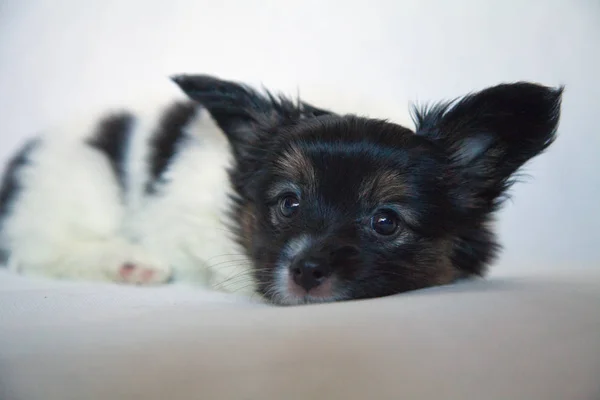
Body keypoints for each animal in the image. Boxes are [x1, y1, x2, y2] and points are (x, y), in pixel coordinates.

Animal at [0, 75, 564, 304]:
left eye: (386, 222)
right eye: (288, 204)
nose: (306, 270)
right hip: (78, 188)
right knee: (41, 251)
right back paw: (129, 263)